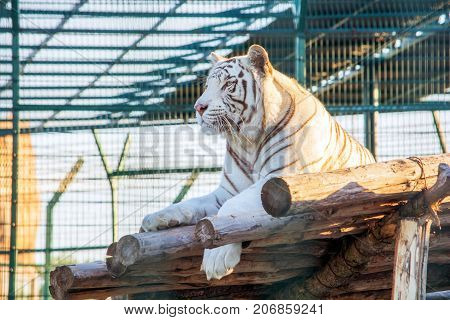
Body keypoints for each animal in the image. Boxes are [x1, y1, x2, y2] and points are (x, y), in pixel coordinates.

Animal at [142, 44, 374, 280]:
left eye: (228, 84)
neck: (248, 142)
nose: (198, 107)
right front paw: (156, 218)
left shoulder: (280, 181)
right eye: (208, 86)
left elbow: (230, 207)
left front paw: (216, 257)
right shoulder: (226, 191)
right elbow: (192, 203)